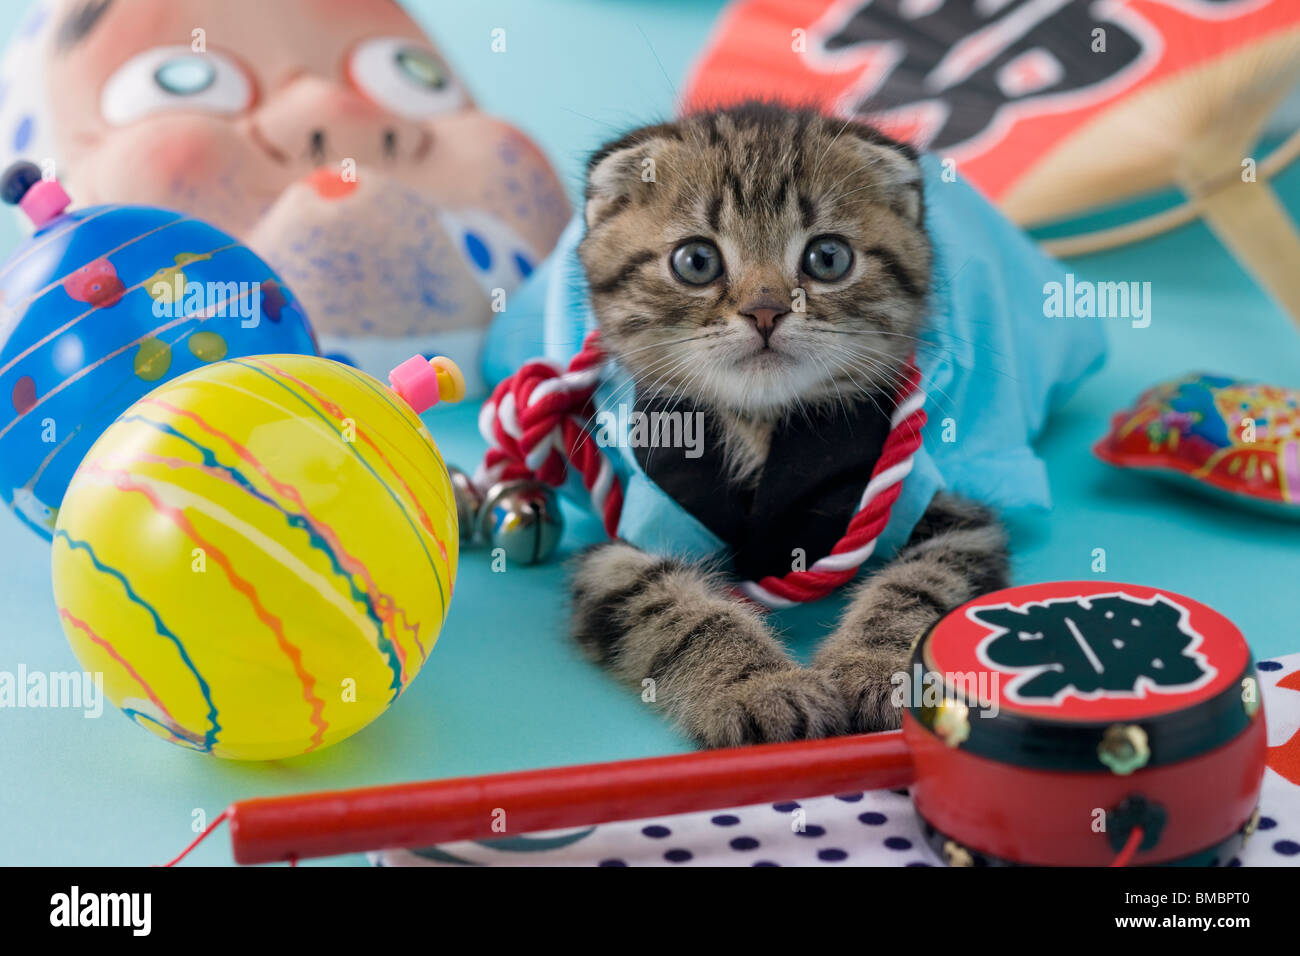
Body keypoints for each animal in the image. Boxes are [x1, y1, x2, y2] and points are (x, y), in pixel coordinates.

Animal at [569, 102, 1003, 749]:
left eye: (828, 257)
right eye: (696, 261)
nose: (765, 310)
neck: (761, 423)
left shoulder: (954, 521)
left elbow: (915, 587)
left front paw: (876, 668)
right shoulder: (621, 549)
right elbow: (675, 610)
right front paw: (761, 687)